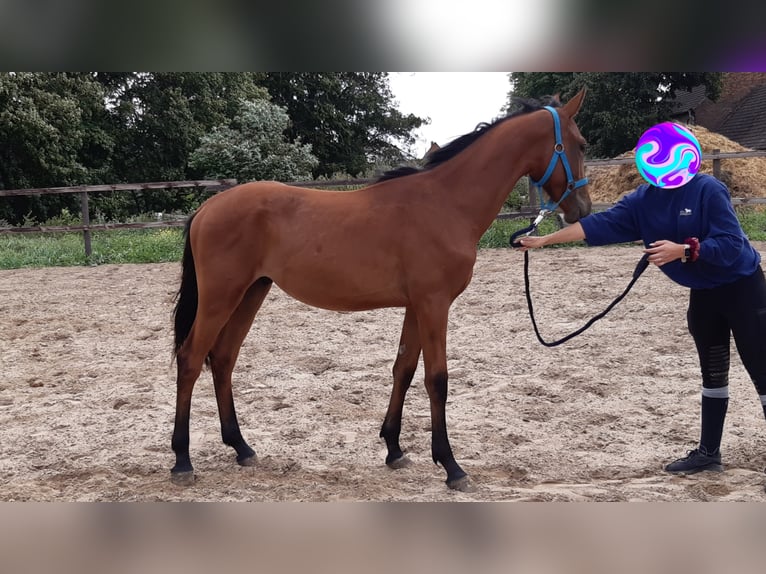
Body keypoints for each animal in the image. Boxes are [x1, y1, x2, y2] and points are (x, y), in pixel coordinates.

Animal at [170, 88, 592, 491]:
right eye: (582, 143)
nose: (583, 211)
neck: (446, 203)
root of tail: (207, 208)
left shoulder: (416, 306)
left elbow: (403, 369)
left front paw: (394, 449)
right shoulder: (434, 304)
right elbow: (437, 380)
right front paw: (451, 466)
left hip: (250, 293)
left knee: (223, 359)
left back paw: (241, 447)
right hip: (221, 298)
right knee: (191, 359)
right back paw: (182, 461)